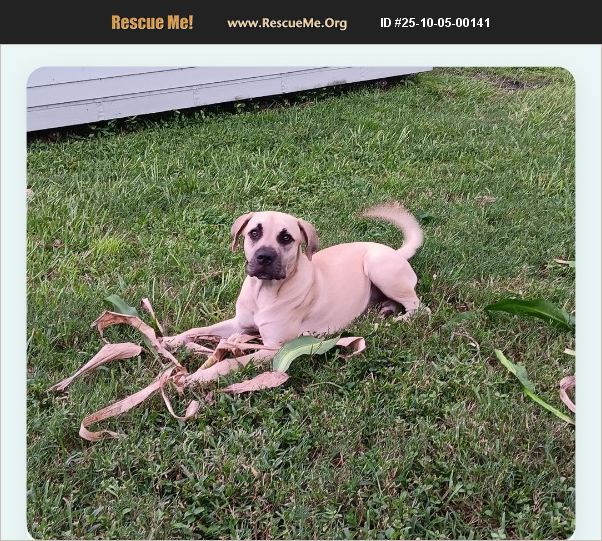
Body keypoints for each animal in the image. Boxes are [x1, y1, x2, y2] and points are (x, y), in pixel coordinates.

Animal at [167, 203, 423, 357]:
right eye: (254, 233)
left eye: (286, 238)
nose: (264, 257)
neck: (264, 292)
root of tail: (395, 252)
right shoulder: (239, 323)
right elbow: (198, 329)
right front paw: (171, 340)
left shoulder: (274, 347)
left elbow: (232, 363)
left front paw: (198, 378)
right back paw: (386, 309)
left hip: (377, 265)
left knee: (420, 309)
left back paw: (397, 319)